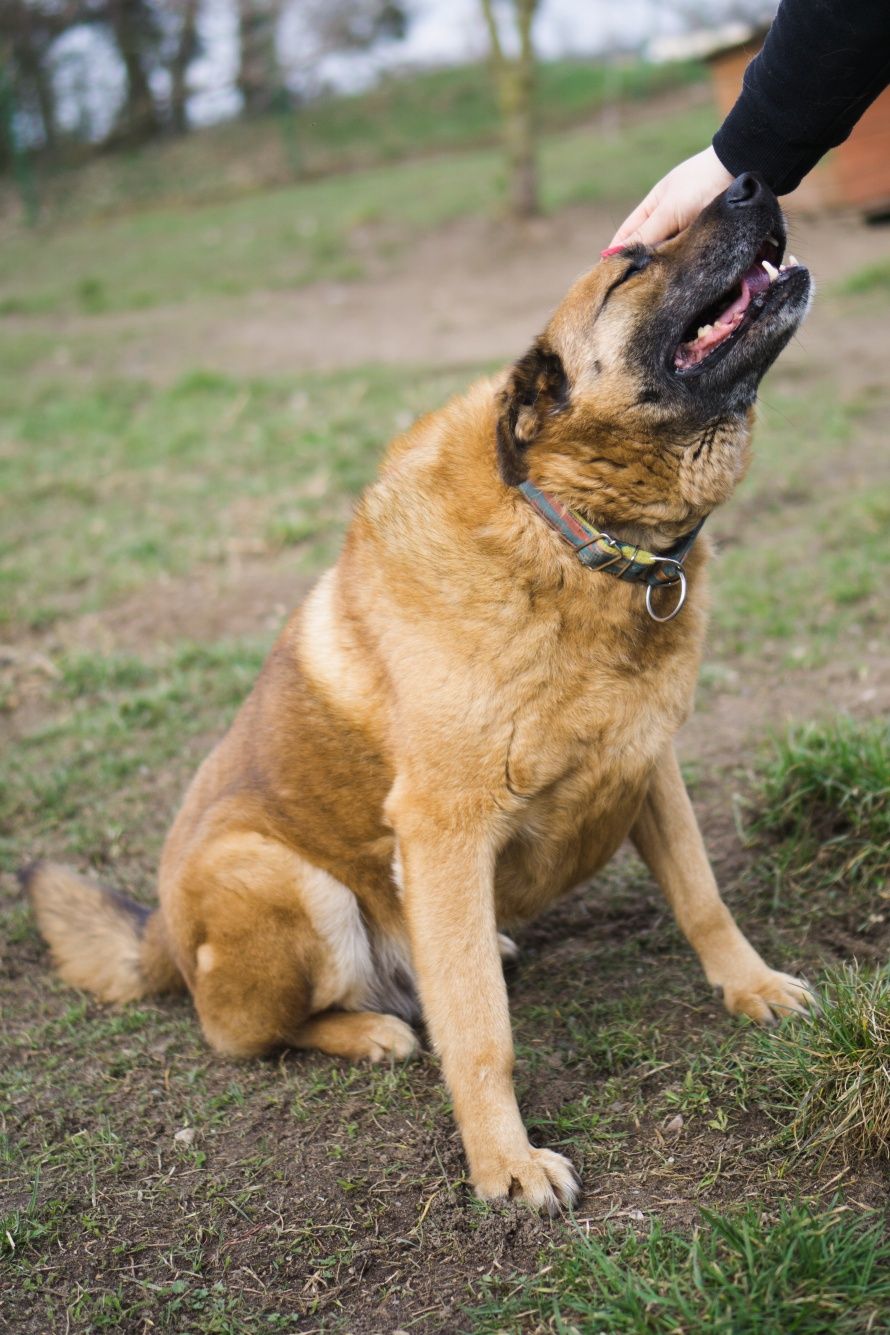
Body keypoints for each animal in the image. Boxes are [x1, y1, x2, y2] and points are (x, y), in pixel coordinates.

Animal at [26, 174, 816, 1212]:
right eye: (634, 265)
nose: (753, 181)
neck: (567, 533)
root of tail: (160, 930)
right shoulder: (445, 827)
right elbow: (479, 1030)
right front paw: (504, 1162)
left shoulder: (649, 767)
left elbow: (703, 899)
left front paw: (750, 986)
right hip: (286, 880)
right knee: (244, 1032)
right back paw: (369, 1029)